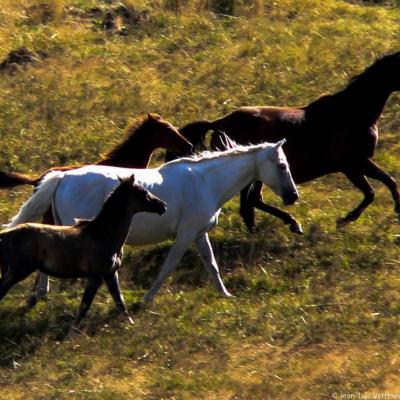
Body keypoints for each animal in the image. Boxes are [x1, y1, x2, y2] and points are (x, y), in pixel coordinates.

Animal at [0, 176, 167, 332]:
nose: (163, 206)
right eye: (143, 192)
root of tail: (7, 234)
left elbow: (119, 300)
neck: (104, 235)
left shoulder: (111, 273)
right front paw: (72, 332)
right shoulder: (96, 275)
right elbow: (85, 305)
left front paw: (130, 324)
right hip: (18, 271)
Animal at [7, 140, 298, 304]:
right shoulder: (185, 235)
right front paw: (146, 299)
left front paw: (225, 295)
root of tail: (63, 178)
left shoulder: (198, 233)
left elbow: (212, 265)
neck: (205, 182)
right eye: (282, 166)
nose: (293, 196)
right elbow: (168, 267)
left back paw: (40, 294)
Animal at [177, 52, 400, 233]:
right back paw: (290, 223)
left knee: (250, 203)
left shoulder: (360, 163)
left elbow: (389, 181)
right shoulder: (352, 165)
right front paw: (345, 220)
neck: (352, 113)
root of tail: (219, 124)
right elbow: (371, 192)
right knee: (251, 201)